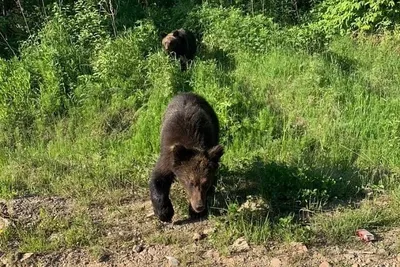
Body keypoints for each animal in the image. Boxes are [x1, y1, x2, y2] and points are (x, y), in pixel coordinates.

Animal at [150, 93, 223, 223]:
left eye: (205, 183)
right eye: (191, 182)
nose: (199, 206)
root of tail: (188, 93)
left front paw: (195, 212)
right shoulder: (168, 157)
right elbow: (158, 179)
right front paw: (164, 213)